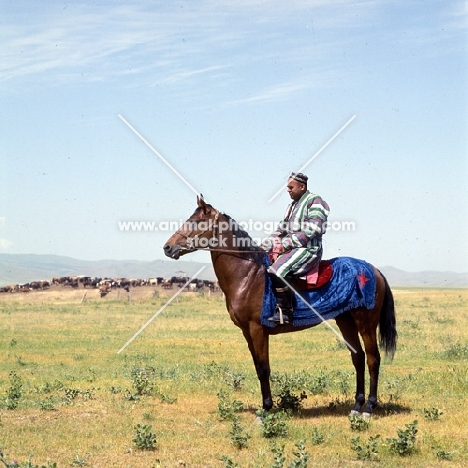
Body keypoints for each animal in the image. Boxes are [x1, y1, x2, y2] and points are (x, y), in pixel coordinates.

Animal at [163, 196, 396, 418]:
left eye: (196, 222)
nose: (167, 247)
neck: (248, 274)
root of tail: (373, 270)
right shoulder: (247, 332)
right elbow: (258, 367)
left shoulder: (258, 329)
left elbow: (264, 369)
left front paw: (266, 409)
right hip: (346, 321)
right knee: (358, 358)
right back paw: (356, 406)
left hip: (366, 323)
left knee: (373, 359)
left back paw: (369, 408)